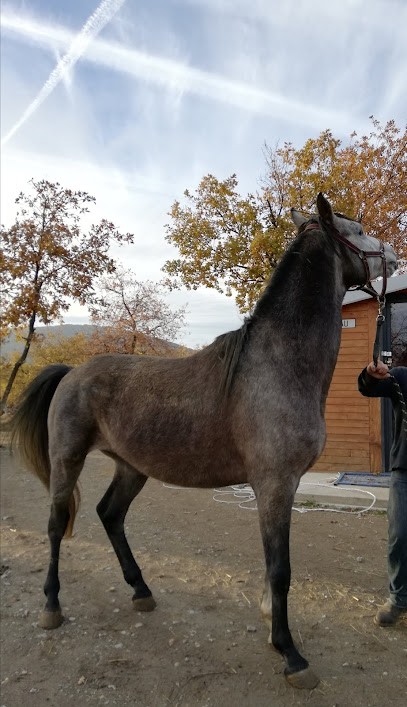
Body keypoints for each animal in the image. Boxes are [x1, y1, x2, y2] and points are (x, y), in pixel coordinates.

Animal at [8, 193, 397, 689]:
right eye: (360, 230)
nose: (394, 255)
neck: (278, 365)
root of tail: (72, 372)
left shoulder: (279, 487)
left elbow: (273, 566)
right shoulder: (274, 484)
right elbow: (280, 569)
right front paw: (290, 653)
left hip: (131, 467)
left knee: (109, 515)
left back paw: (141, 591)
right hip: (67, 460)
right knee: (58, 525)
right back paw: (52, 606)